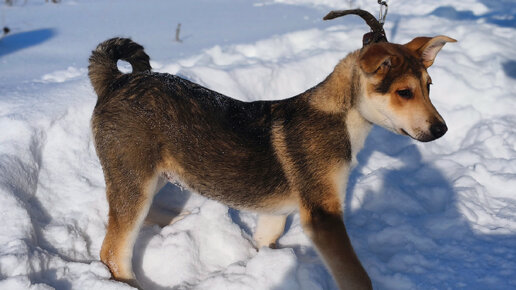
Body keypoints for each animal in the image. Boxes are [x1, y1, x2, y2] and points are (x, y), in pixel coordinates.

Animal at [87, 14, 456, 290]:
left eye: (429, 86)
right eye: (404, 92)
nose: (441, 130)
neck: (343, 116)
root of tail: (117, 81)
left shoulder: (275, 216)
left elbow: (266, 241)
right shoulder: (323, 214)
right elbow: (356, 276)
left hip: (154, 173)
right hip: (135, 177)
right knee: (113, 252)